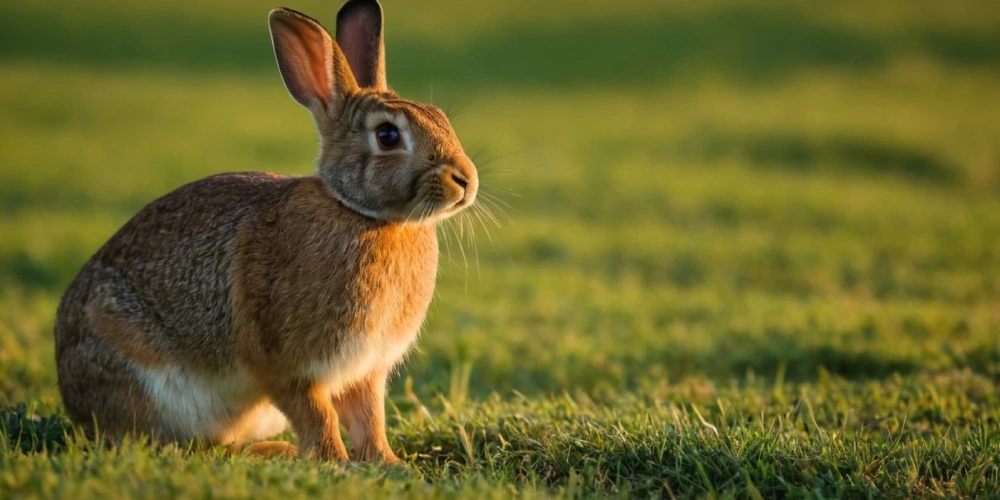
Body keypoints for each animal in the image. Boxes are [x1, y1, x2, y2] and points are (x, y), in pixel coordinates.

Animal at [52, 0, 478, 464]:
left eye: (440, 118)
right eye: (387, 135)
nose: (466, 179)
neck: (363, 214)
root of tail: (70, 389)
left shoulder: (365, 369)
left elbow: (369, 418)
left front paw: (388, 463)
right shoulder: (285, 364)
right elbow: (318, 415)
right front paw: (335, 462)